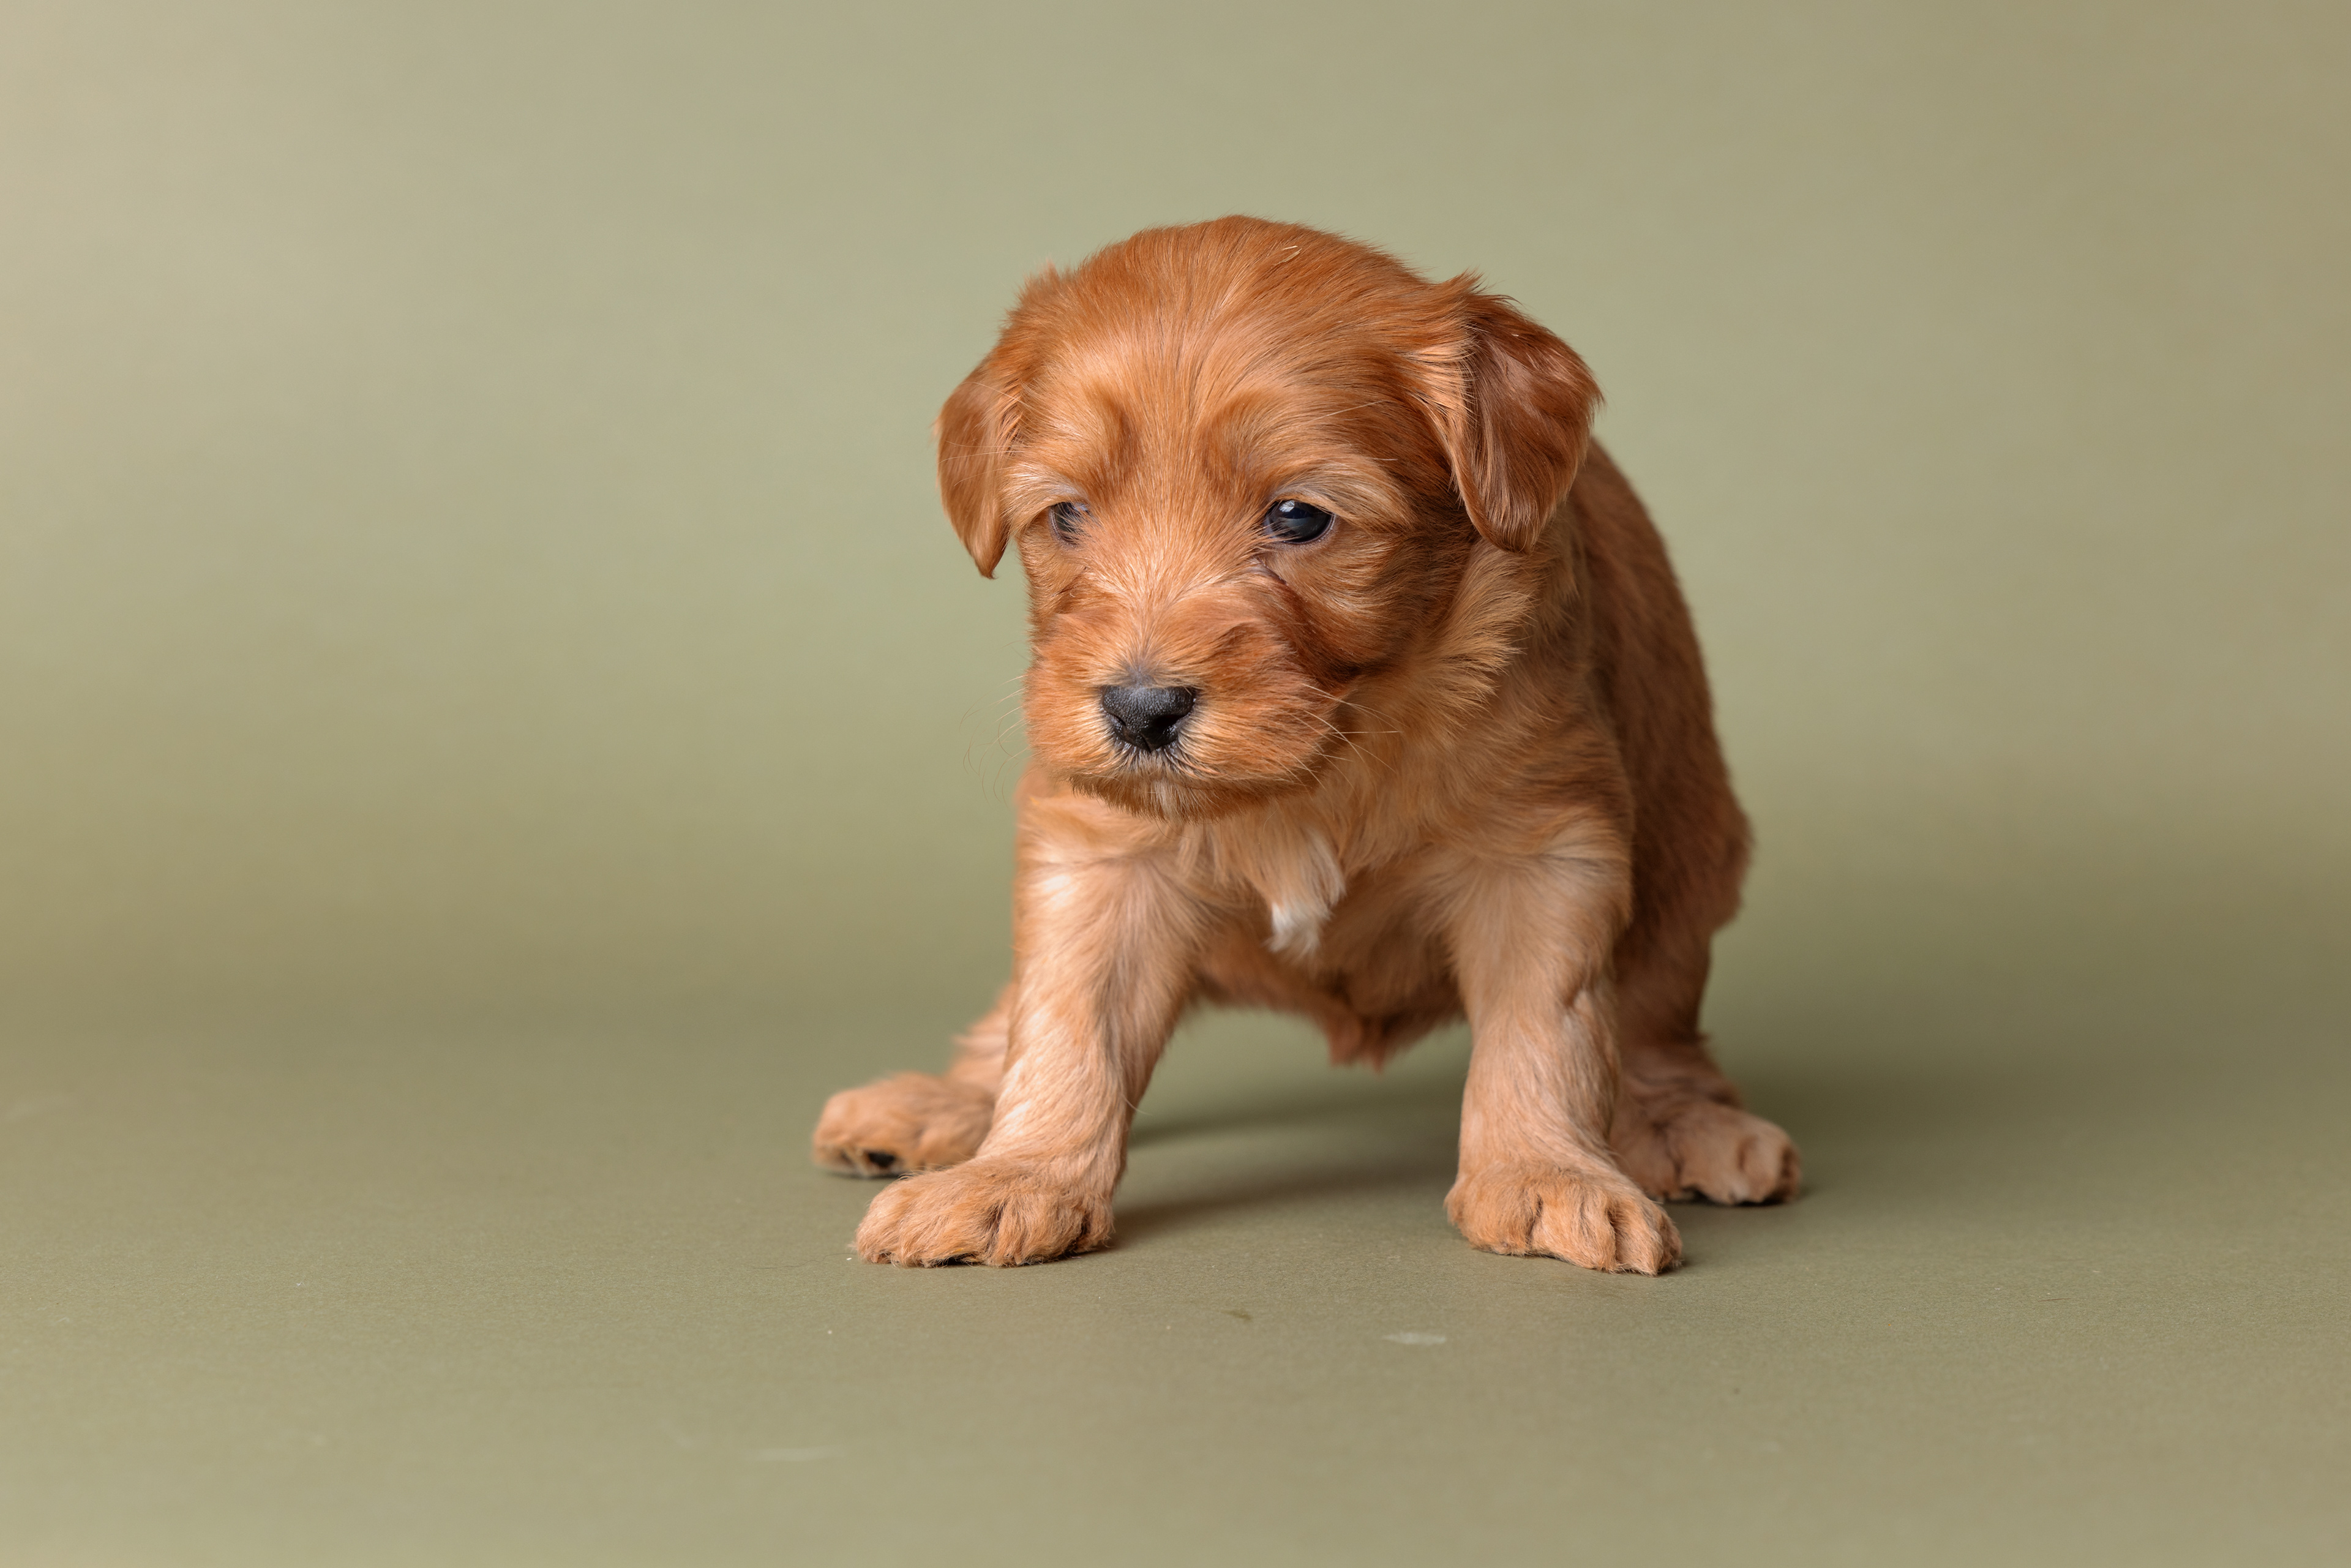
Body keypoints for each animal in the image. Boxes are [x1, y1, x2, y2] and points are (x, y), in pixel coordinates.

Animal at [812, 217, 1798, 1273]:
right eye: (1067, 515)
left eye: (1298, 517)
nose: (1140, 709)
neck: (1330, 749)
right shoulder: (1098, 857)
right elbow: (1067, 1022)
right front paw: (1019, 1176)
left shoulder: (1545, 847)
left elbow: (1547, 1026)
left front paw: (1546, 1172)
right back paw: (946, 1104)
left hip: (1692, 861)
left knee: (1657, 1020)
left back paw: (1685, 1122)